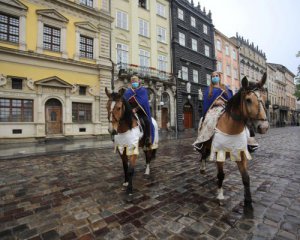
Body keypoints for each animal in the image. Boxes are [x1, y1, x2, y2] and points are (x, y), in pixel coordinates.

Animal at [199, 73, 270, 208]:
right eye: (248, 100)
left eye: (264, 98)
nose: (263, 127)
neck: (231, 128)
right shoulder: (220, 154)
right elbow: (221, 175)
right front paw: (220, 196)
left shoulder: (241, 154)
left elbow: (246, 177)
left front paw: (248, 200)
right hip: (205, 143)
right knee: (203, 154)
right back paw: (203, 168)